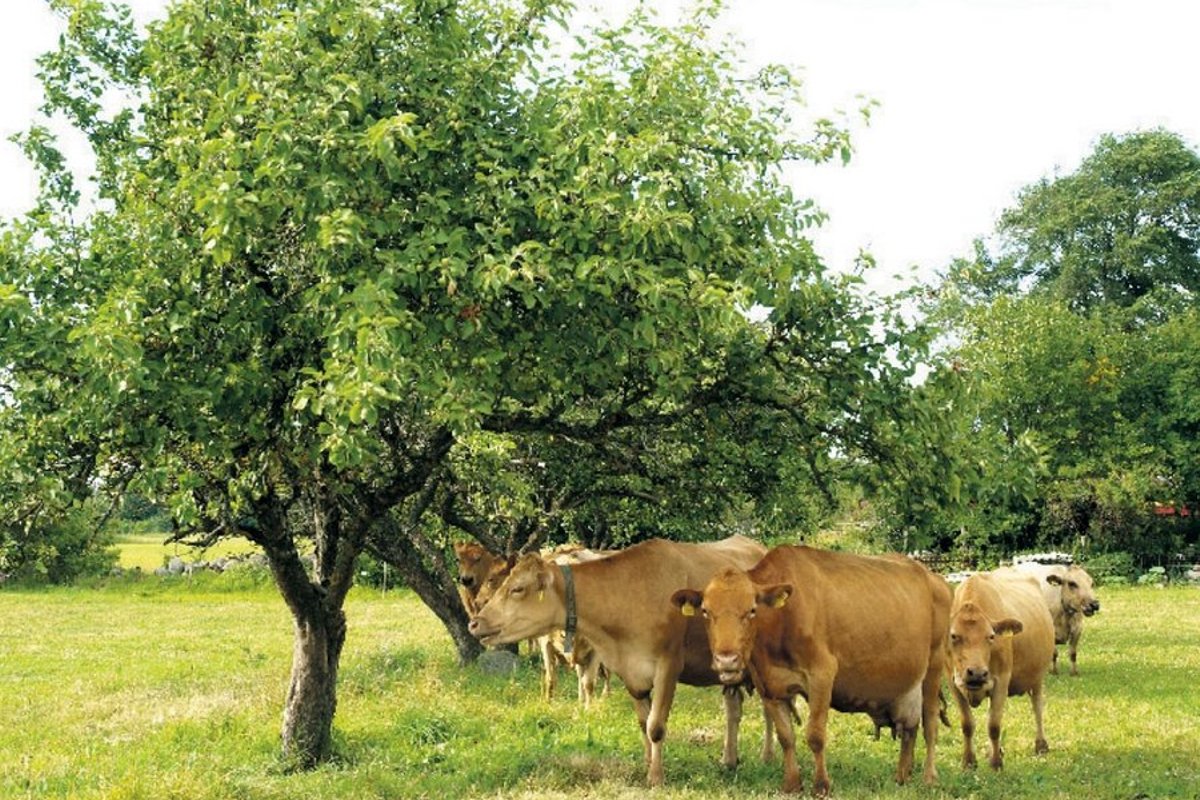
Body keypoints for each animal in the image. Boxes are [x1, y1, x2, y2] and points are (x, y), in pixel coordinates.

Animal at [465, 534, 768, 786]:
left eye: (517, 589)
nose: (475, 622)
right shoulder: (630, 672)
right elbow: (643, 724)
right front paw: (647, 765)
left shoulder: (668, 666)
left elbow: (656, 726)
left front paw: (656, 778)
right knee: (733, 708)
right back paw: (729, 760)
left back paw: (768, 757)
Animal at [672, 544, 950, 796]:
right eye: (706, 611)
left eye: (751, 610)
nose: (726, 660)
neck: (782, 620)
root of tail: (932, 576)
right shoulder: (769, 685)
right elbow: (786, 736)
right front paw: (792, 784)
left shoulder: (822, 675)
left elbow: (815, 735)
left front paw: (821, 785)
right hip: (907, 684)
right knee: (910, 726)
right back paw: (902, 776)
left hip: (934, 666)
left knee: (930, 724)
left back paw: (929, 777)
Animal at [945, 568, 1051, 767]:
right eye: (953, 636)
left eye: (991, 636)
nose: (977, 673)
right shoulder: (953, 682)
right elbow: (967, 724)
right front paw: (969, 761)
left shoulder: (1002, 679)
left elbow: (994, 725)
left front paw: (996, 764)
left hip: (1038, 676)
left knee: (1037, 707)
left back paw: (1041, 744)